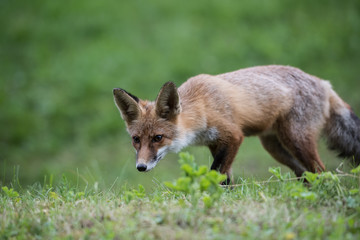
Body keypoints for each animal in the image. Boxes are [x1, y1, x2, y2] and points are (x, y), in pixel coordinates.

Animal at [114, 64, 360, 183]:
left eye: (158, 138)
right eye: (136, 140)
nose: (141, 167)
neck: (203, 106)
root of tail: (324, 83)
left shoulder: (233, 136)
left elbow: (216, 173)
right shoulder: (216, 143)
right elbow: (226, 177)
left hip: (296, 139)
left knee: (320, 170)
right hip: (275, 147)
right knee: (303, 173)